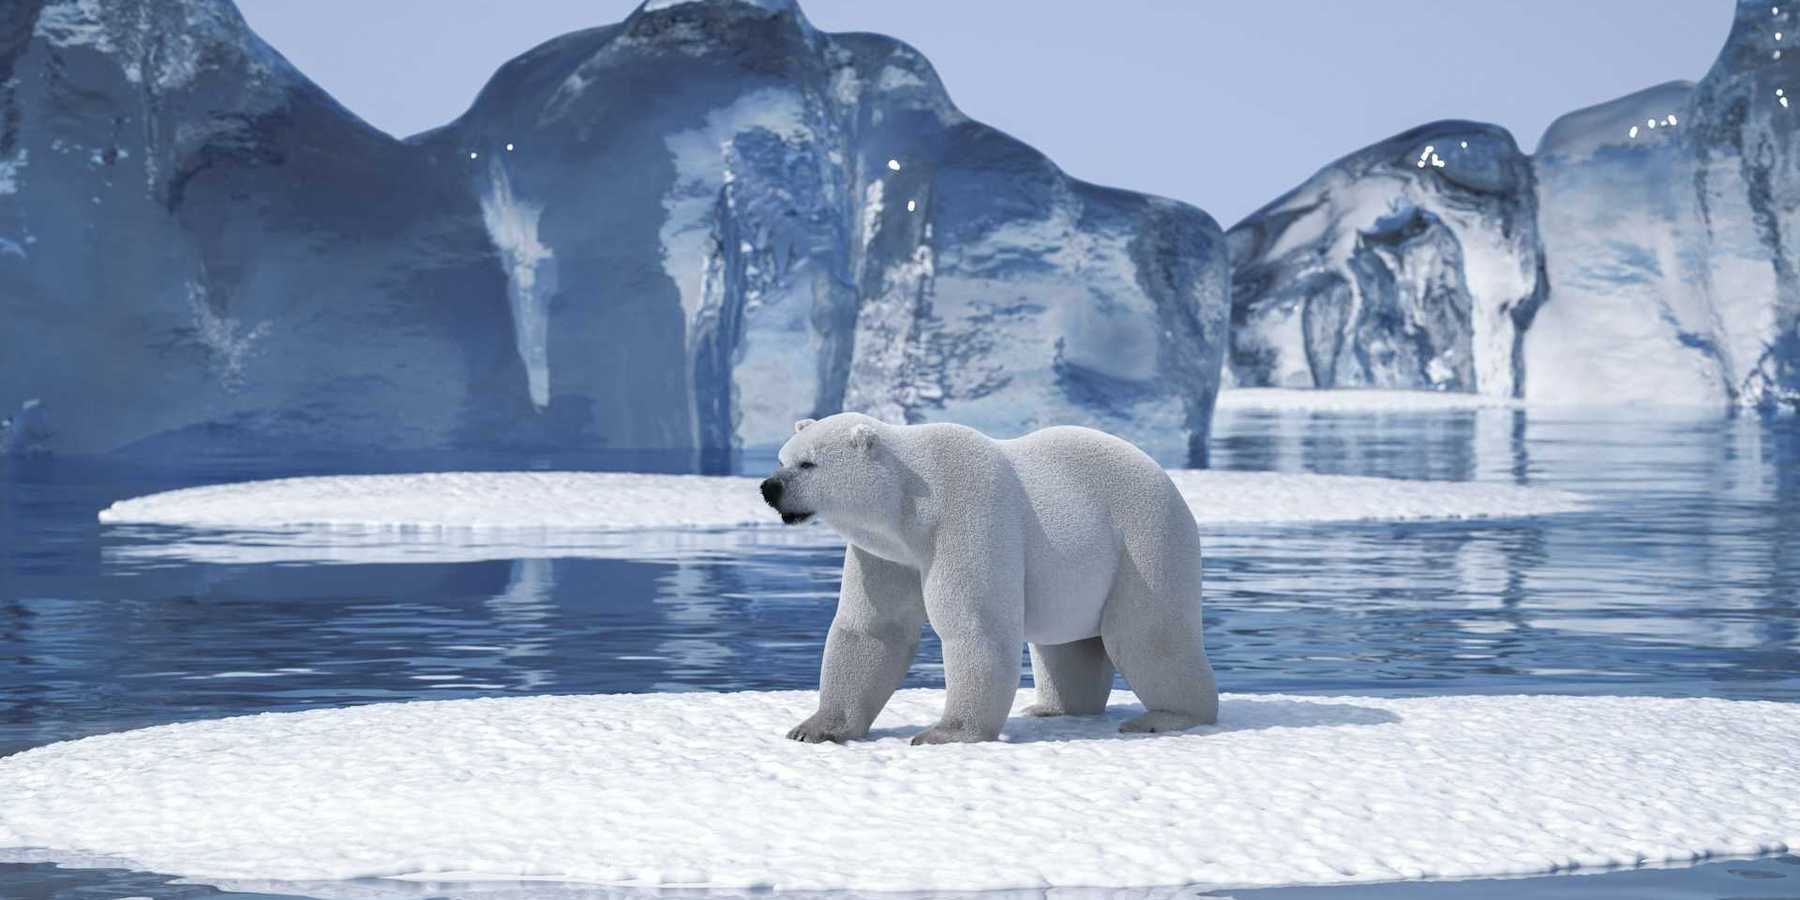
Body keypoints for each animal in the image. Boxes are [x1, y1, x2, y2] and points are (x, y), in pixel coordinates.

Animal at [760, 412, 1218, 745]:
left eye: (808, 463)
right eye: (783, 459)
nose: (769, 487)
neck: (913, 505)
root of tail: (1161, 472)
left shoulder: (968, 515)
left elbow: (975, 625)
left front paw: (944, 733)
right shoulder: (885, 554)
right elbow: (872, 629)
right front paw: (813, 728)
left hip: (1142, 539)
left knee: (1146, 634)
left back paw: (1170, 715)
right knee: (1069, 643)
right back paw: (1053, 707)